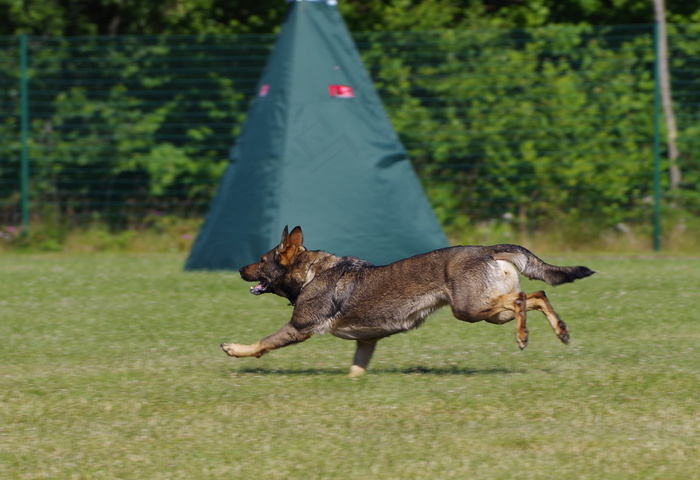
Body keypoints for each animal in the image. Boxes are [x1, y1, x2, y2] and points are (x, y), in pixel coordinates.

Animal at [221, 227, 592, 376]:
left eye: (261, 260)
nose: (238, 269)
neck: (311, 272)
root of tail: (487, 249)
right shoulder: (366, 340)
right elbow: (356, 368)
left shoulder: (299, 327)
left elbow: (262, 343)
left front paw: (234, 349)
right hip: (486, 311)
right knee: (537, 296)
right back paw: (561, 331)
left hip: (469, 309)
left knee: (521, 299)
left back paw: (523, 336)